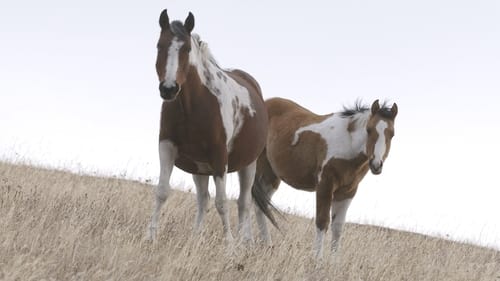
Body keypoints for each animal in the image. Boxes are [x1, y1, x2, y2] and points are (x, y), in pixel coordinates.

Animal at [149, 9, 270, 242]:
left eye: (187, 49)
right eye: (159, 45)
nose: (168, 89)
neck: (194, 105)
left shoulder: (219, 157)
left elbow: (222, 203)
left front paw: (229, 244)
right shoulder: (167, 146)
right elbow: (161, 191)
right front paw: (150, 237)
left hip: (248, 165)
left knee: (243, 203)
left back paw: (242, 241)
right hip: (200, 168)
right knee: (203, 200)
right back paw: (196, 237)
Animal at [252, 97, 396, 258]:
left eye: (392, 134)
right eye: (369, 130)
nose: (376, 165)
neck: (347, 143)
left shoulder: (347, 192)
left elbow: (338, 227)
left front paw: (334, 261)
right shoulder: (325, 186)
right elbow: (322, 222)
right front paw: (317, 258)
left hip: (271, 177)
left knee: (261, 205)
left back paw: (266, 245)